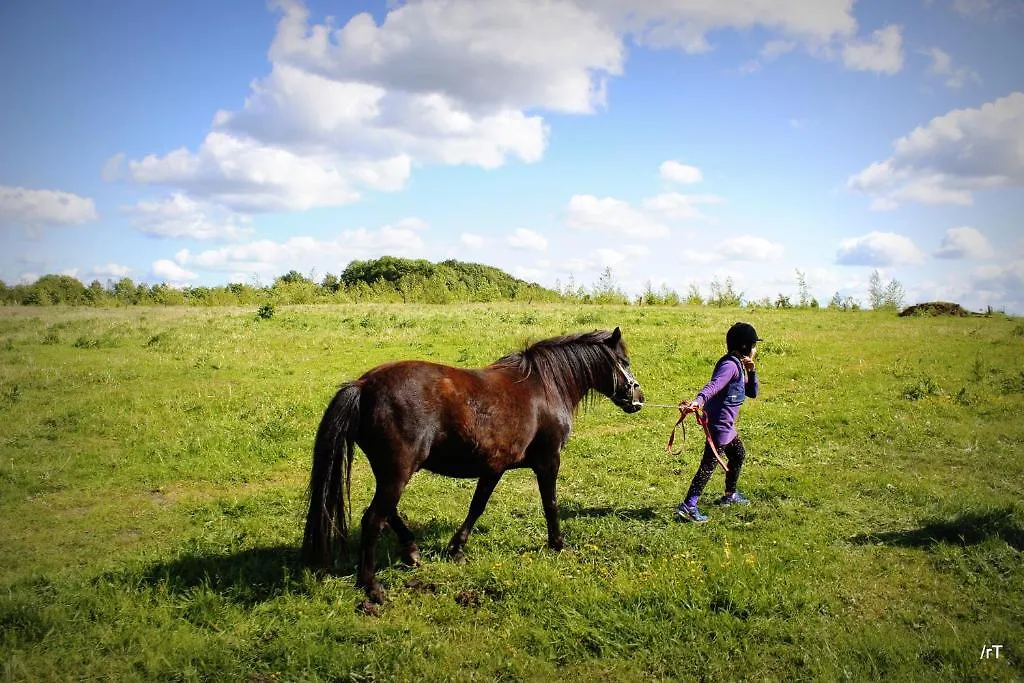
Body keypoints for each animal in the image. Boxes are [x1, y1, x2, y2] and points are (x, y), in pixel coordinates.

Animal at [299, 325, 643, 602]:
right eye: (624, 363)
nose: (638, 398)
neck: (545, 386)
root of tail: (362, 385)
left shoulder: (494, 467)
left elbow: (477, 507)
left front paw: (457, 549)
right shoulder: (548, 462)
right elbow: (551, 504)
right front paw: (558, 544)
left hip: (390, 472)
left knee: (388, 512)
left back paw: (411, 551)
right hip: (397, 472)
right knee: (373, 519)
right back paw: (371, 585)